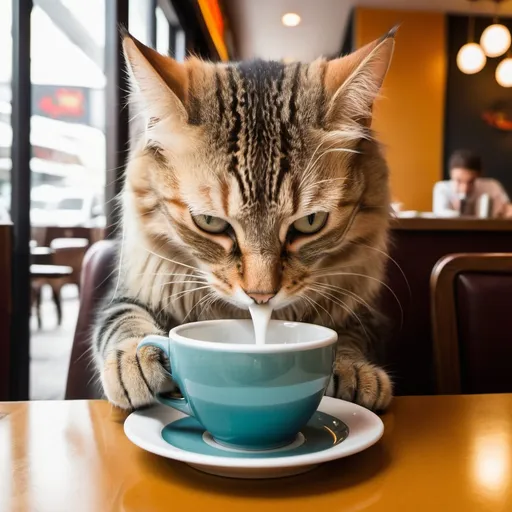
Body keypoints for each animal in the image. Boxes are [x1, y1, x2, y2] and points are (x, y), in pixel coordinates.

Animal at [92, 28, 396, 412]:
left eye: (311, 222)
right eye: (209, 222)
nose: (261, 296)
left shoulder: (365, 313)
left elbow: (350, 334)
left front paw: (353, 368)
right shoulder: (129, 290)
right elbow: (123, 318)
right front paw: (133, 356)